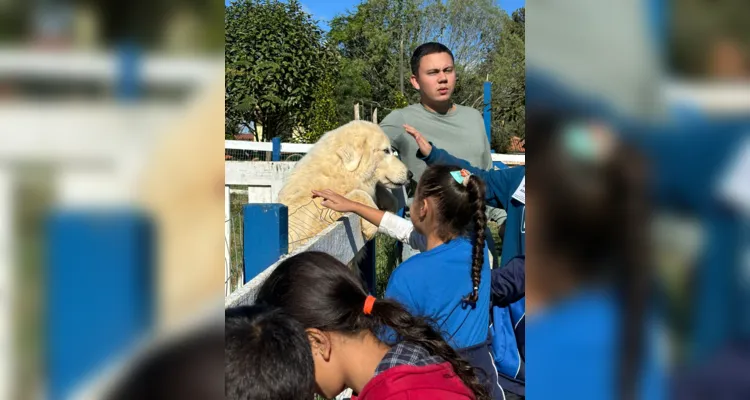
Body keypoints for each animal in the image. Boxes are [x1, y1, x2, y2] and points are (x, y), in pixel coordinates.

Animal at [280, 119, 412, 250]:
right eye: (386, 151)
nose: (410, 175)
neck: (339, 172)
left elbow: (386, 196)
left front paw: (389, 208)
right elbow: (360, 193)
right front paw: (371, 227)